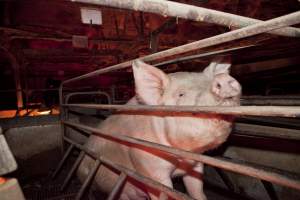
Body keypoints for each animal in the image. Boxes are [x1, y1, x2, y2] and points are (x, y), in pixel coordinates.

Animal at [77, 58, 241, 199]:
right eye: (181, 94)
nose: (222, 79)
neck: (181, 156)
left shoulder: (196, 163)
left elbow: (196, 190)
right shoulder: (148, 167)